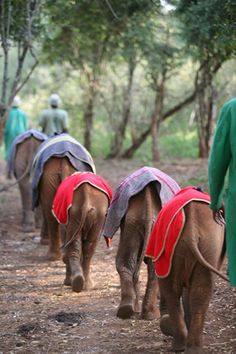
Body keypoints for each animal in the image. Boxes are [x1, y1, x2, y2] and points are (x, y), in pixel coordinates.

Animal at [146, 187, 229, 352]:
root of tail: (192, 228)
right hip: (209, 242)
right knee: (198, 289)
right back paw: (190, 347)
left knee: (177, 289)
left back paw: (182, 346)